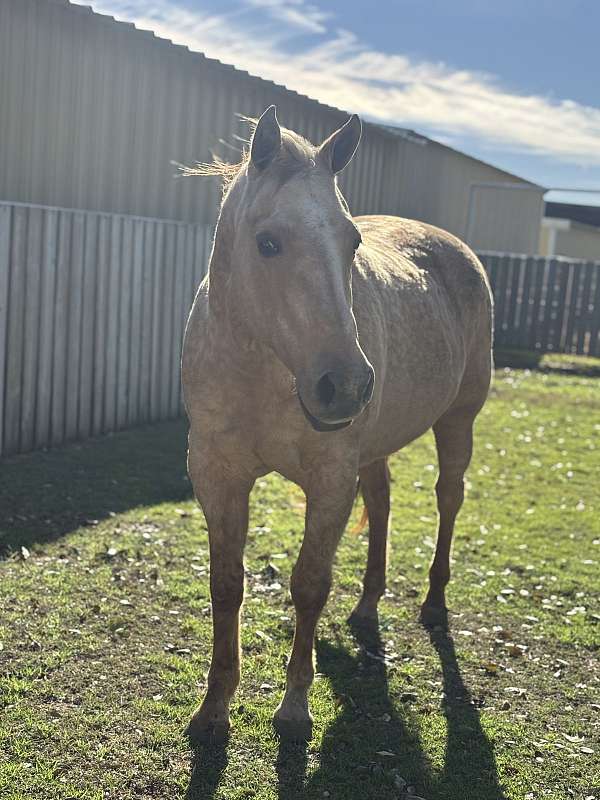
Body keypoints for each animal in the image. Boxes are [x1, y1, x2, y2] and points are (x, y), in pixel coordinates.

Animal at [182, 106, 492, 744]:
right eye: (268, 242)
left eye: (352, 243)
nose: (345, 385)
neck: (263, 370)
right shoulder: (217, 475)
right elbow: (226, 585)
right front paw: (214, 709)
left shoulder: (328, 480)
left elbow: (309, 584)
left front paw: (295, 705)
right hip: (373, 449)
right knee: (383, 500)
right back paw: (368, 604)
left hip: (458, 421)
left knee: (448, 498)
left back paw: (433, 603)